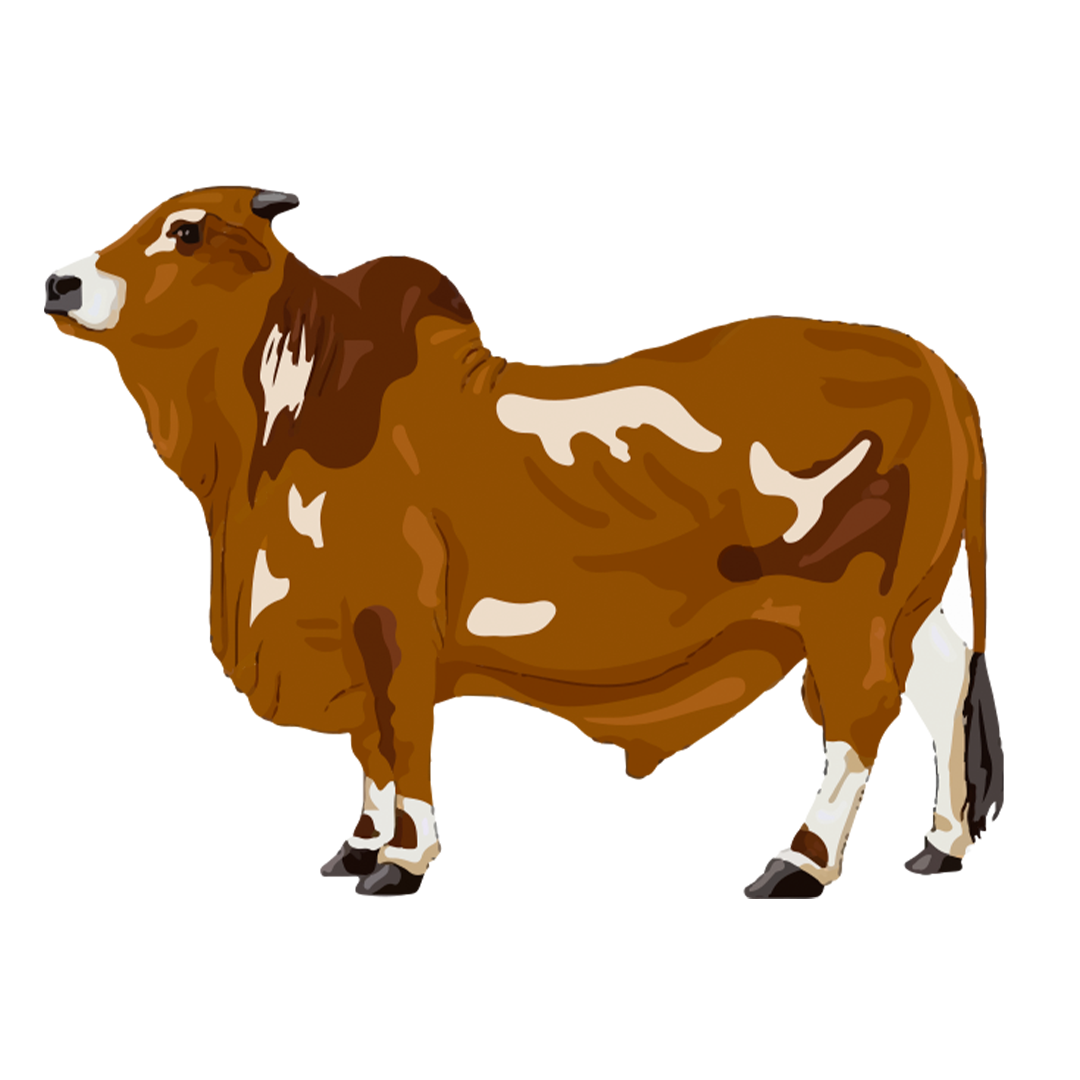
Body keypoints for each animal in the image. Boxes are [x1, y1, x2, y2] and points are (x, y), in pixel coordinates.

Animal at [52, 186, 983, 897]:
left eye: (187, 227)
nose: (63, 281)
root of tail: (925, 360)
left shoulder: (392, 602)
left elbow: (400, 723)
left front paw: (402, 855)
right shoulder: (356, 609)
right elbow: (376, 732)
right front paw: (364, 840)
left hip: (848, 603)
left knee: (871, 720)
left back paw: (806, 858)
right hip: (920, 597)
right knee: (943, 686)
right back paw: (944, 842)